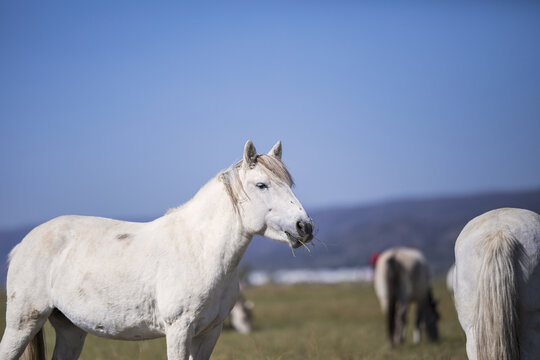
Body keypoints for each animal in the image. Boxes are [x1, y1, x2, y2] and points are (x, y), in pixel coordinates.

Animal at [0, 141, 314, 360]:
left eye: (289, 183)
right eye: (261, 185)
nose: (305, 227)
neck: (200, 249)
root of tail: (22, 245)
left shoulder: (209, 333)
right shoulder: (178, 330)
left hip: (70, 330)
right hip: (23, 322)